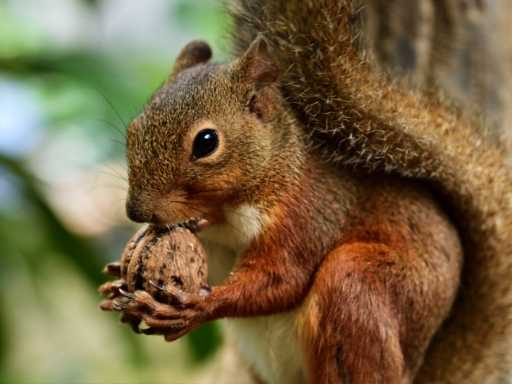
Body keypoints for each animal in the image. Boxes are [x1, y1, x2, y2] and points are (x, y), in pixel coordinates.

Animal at [99, 0, 512, 384]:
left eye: (206, 142)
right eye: (134, 128)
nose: (136, 212)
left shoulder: (307, 215)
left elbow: (282, 278)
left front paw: (196, 308)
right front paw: (122, 267)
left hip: (359, 286)